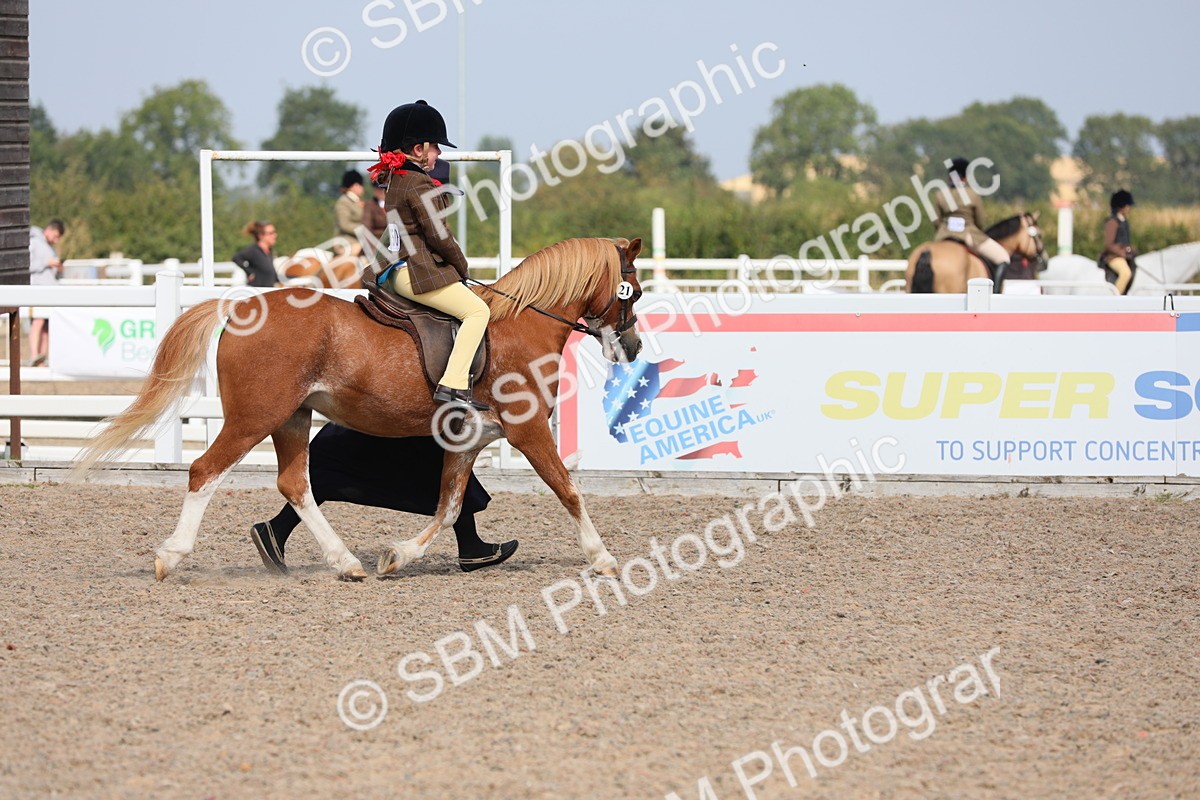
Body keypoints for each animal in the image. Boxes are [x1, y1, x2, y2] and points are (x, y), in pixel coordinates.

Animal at [72, 237, 645, 582]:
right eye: (632, 292)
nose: (634, 348)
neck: (519, 327)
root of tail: (242, 307)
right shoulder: (528, 433)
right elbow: (569, 491)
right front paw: (603, 558)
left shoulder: (469, 441)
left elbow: (449, 507)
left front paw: (399, 556)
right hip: (254, 419)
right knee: (204, 471)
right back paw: (171, 556)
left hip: (292, 419)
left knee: (295, 484)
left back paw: (343, 561)